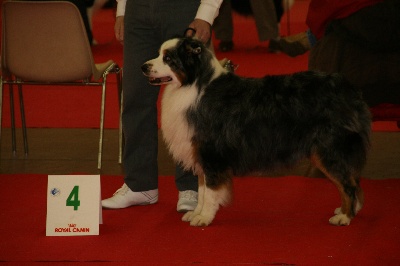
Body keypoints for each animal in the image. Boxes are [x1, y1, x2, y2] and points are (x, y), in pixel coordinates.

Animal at [141, 37, 372, 227]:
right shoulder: (201, 154)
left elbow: (211, 190)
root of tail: (349, 90)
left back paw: (345, 217)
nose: (143, 67)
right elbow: (202, 188)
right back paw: (348, 209)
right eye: (159, 54)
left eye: (168, 58)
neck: (194, 85)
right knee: (352, 180)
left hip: (329, 149)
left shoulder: (211, 152)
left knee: (348, 184)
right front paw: (196, 213)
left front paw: (204, 217)